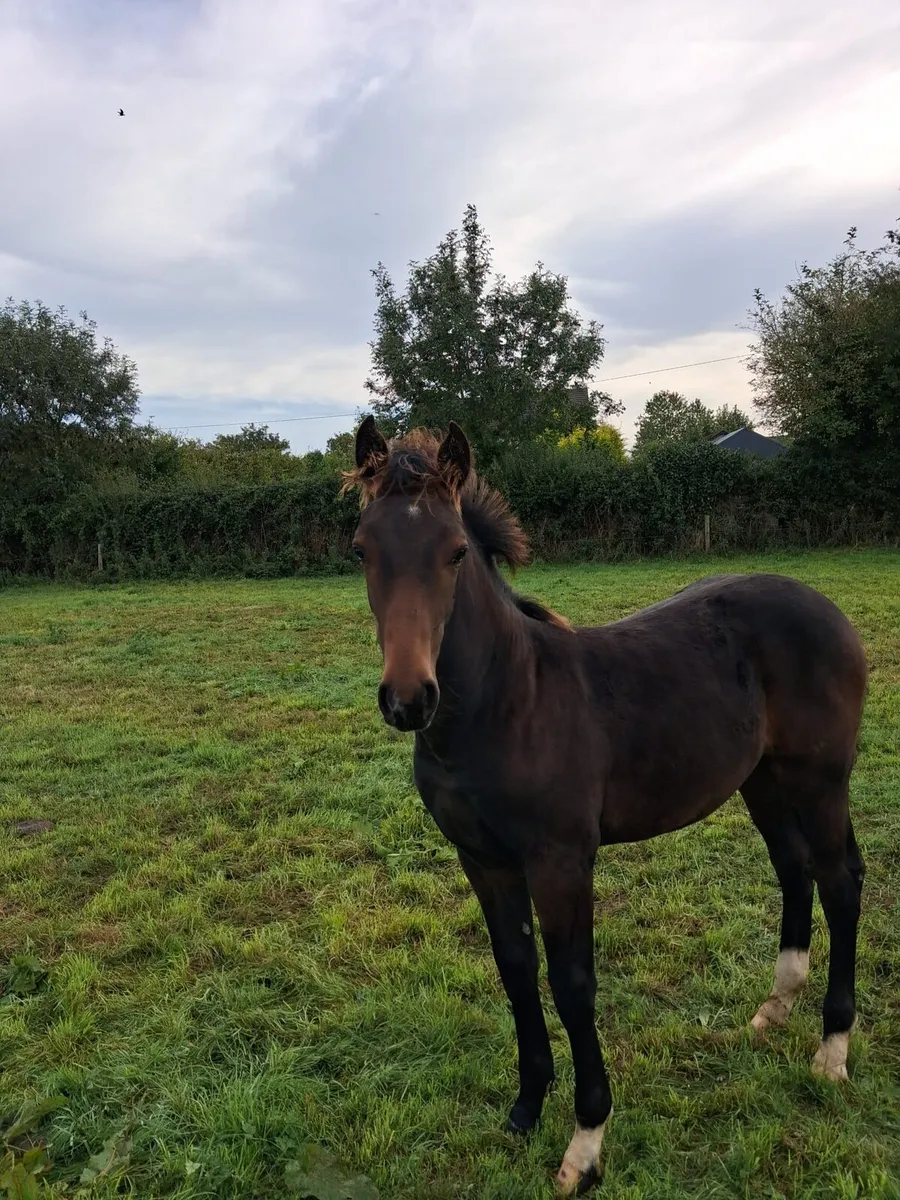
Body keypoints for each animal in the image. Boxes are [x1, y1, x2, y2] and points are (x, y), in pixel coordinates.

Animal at [343, 417, 868, 1195]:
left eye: (456, 551)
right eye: (362, 550)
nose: (408, 699)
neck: (507, 703)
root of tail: (826, 606)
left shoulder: (561, 861)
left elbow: (573, 984)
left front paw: (585, 1145)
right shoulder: (483, 860)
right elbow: (515, 969)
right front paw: (525, 1108)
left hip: (820, 780)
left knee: (840, 882)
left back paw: (832, 1051)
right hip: (763, 780)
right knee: (792, 869)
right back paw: (773, 1009)